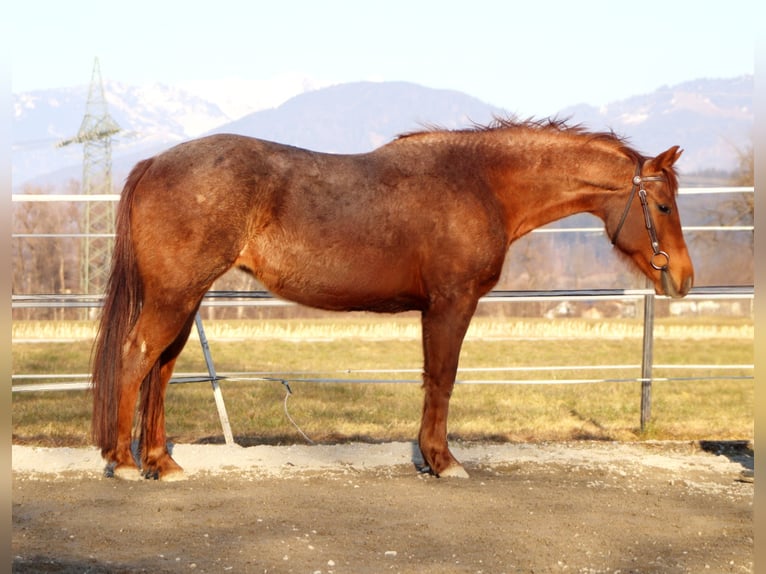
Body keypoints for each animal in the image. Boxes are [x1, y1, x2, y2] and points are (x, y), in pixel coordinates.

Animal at [90, 118, 696, 482]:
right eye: (664, 206)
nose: (683, 279)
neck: (482, 181)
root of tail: (153, 163)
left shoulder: (436, 309)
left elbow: (431, 378)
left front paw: (430, 458)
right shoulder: (452, 304)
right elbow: (443, 378)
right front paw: (444, 461)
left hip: (184, 299)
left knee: (161, 368)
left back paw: (161, 462)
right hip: (174, 297)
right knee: (136, 356)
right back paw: (123, 462)